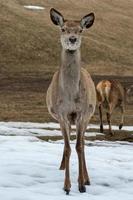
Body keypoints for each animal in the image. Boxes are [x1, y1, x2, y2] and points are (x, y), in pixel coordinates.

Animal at [46, 8, 96, 195]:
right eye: (63, 29)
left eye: (80, 30)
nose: (72, 39)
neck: (70, 95)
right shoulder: (62, 114)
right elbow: (68, 148)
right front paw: (67, 186)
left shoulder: (81, 113)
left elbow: (79, 147)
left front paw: (81, 184)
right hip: (65, 121)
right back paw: (62, 167)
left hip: (89, 115)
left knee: (83, 143)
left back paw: (87, 178)